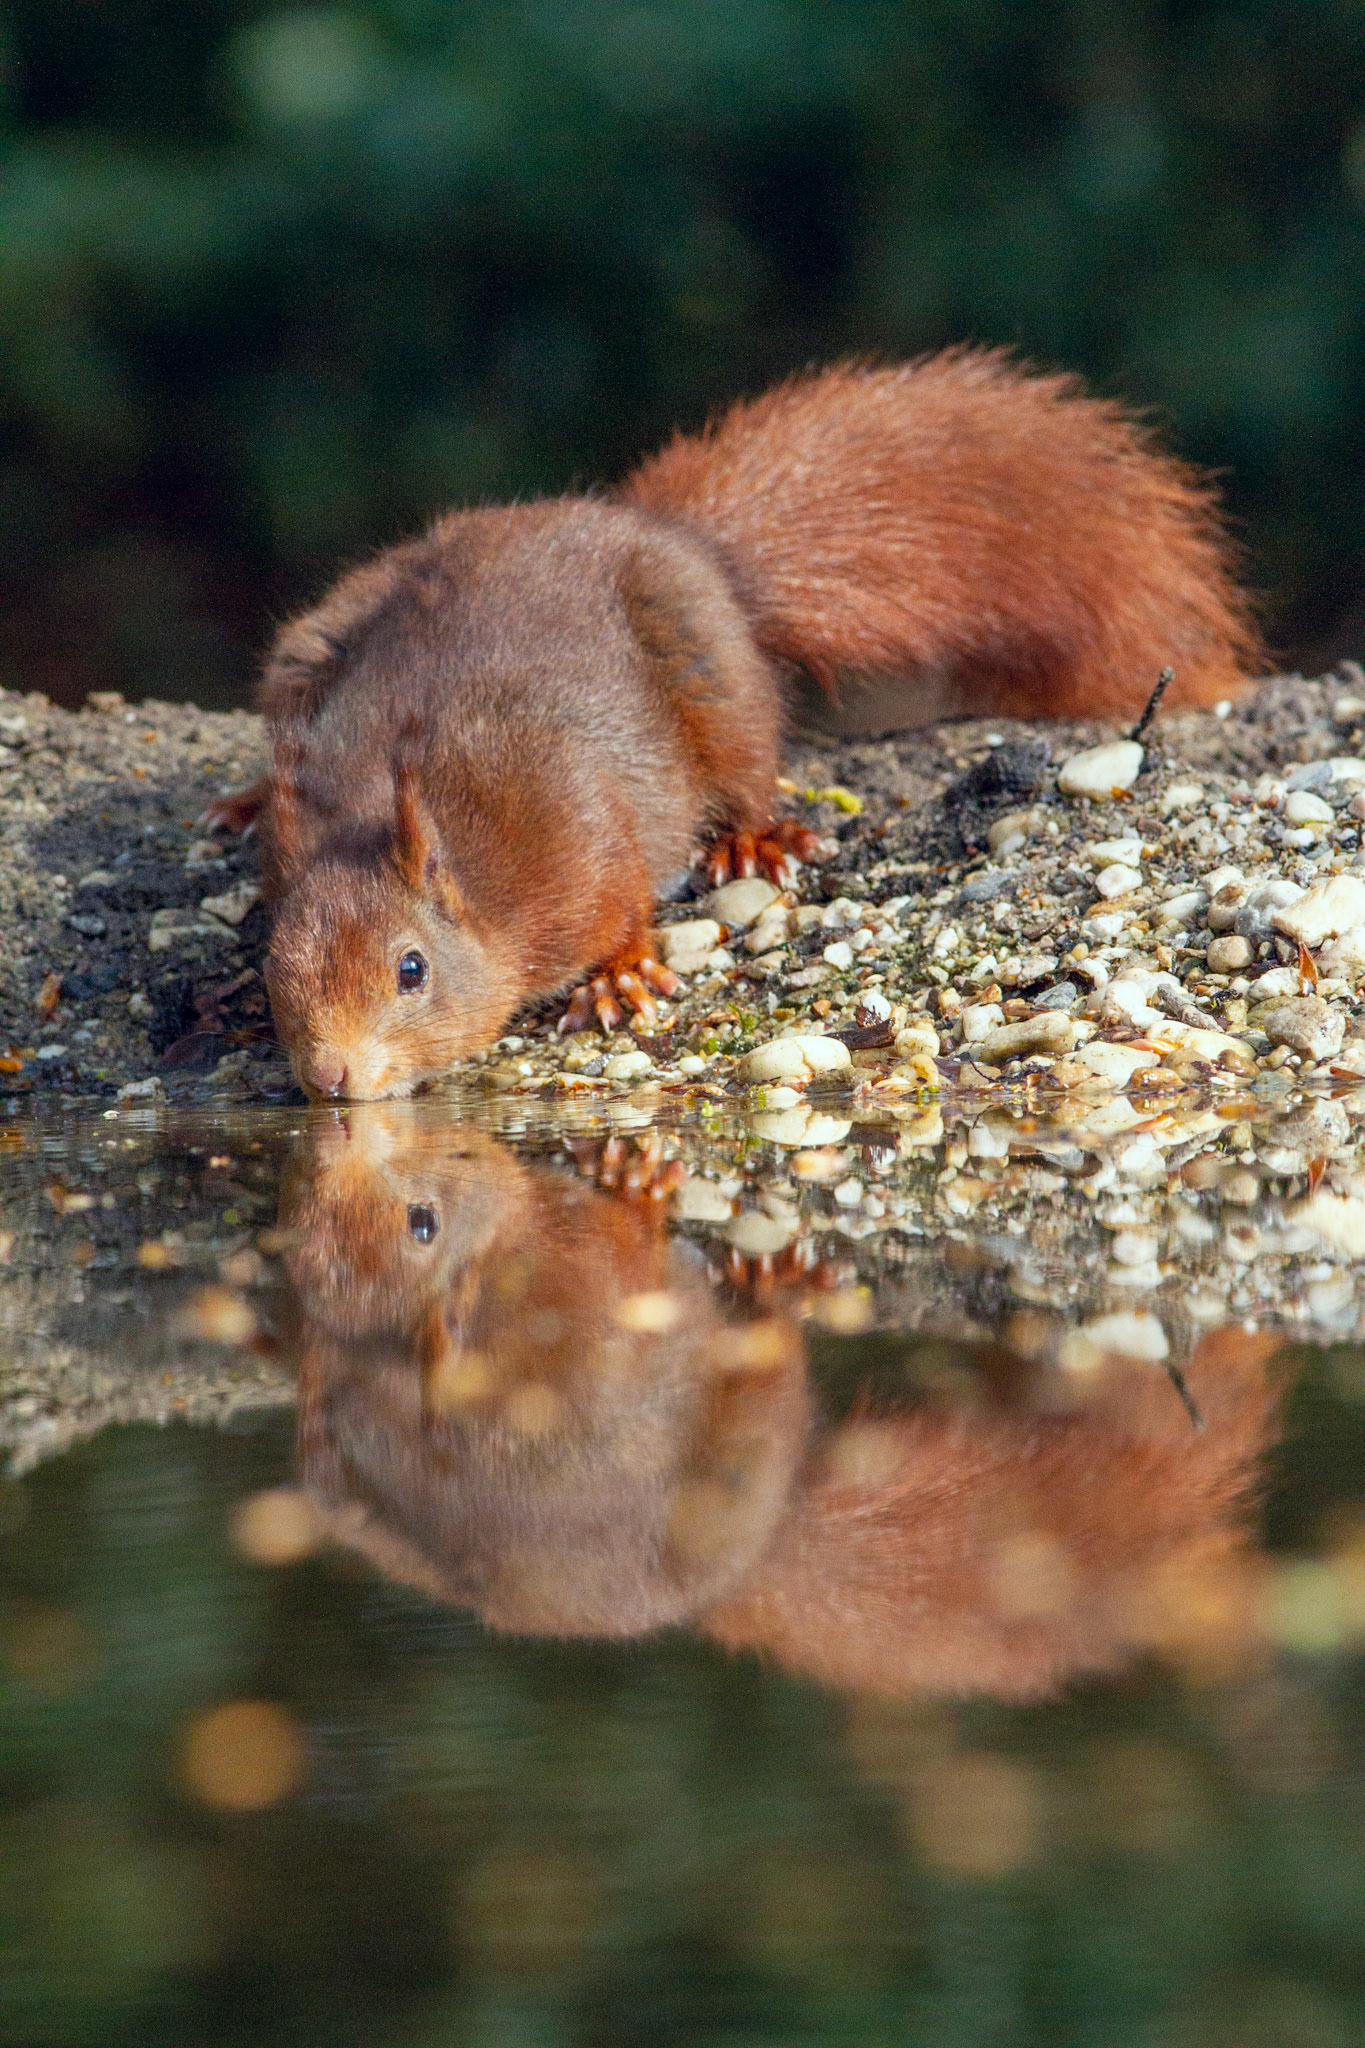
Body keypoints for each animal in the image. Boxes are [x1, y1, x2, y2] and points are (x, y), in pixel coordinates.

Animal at [216, 348, 1263, 1100]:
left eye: (411, 970)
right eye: (274, 971)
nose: (330, 1078)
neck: (465, 869)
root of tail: (673, 539)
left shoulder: (571, 821)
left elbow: (621, 893)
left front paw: (620, 974)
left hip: (713, 679)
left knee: (748, 761)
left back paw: (753, 840)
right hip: (310, 646)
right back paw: (241, 799)